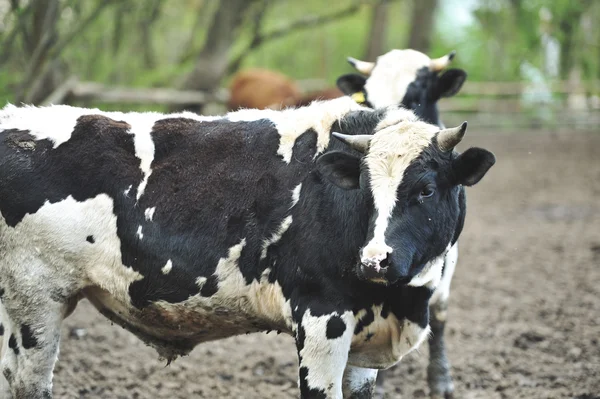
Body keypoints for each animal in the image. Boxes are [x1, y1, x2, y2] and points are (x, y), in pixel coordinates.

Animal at [0, 97, 494, 399]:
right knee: (29, 385)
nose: (375, 261)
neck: (398, 302)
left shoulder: (365, 341)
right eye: (367, 190)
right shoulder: (322, 317)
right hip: (36, 302)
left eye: (426, 189)